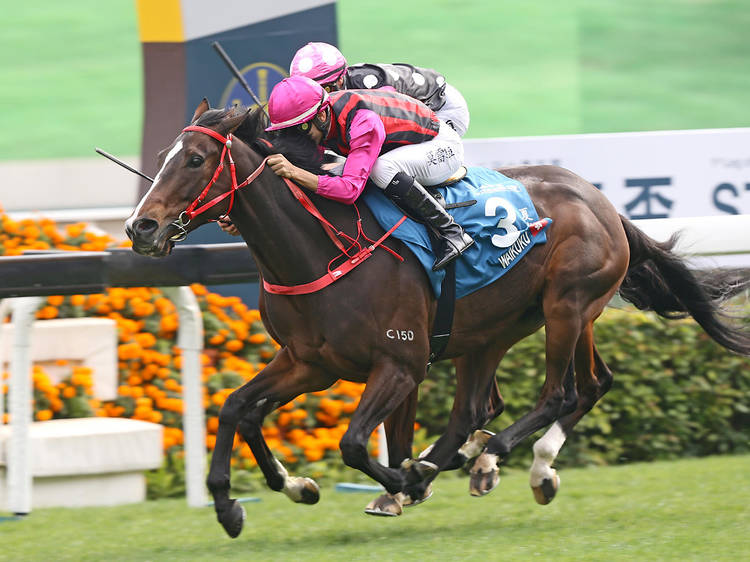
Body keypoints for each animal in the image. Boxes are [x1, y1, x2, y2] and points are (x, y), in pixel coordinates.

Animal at [128, 103, 750, 536]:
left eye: (195, 160)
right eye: (162, 158)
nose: (141, 227)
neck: (325, 248)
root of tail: (605, 205)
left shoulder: (400, 363)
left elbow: (354, 443)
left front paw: (400, 478)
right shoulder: (310, 362)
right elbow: (237, 408)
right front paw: (254, 498)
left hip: (566, 306)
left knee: (561, 392)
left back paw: (483, 459)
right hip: (499, 328)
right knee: (542, 393)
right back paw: (488, 463)